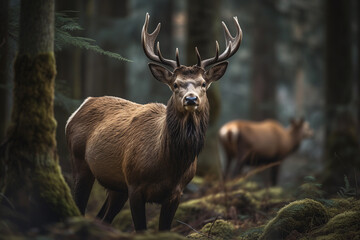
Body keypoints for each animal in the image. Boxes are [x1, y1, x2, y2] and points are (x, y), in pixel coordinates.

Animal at [66, 12, 243, 231]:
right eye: (175, 84)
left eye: (203, 84)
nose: (191, 99)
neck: (169, 165)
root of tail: (80, 107)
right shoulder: (135, 185)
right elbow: (141, 229)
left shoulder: (176, 193)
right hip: (79, 162)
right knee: (79, 206)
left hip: (116, 185)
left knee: (103, 217)